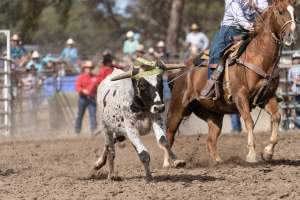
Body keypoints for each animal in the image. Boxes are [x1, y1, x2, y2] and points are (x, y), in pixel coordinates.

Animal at [166, 0, 298, 163]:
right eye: (280, 11)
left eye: (294, 12)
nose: (291, 36)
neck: (258, 57)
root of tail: (181, 72)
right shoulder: (240, 96)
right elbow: (249, 121)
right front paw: (251, 154)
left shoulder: (268, 97)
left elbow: (277, 117)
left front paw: (268, 152)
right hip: (178, 108)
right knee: (169, 135)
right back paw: (169, 163)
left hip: (214, 115)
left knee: (210, 140)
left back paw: (218, 162)